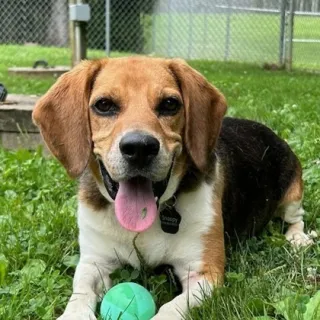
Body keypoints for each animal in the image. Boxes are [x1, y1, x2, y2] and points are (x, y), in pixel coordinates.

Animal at [32, 56, 312, 318]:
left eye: (169, 104)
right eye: (104, 105)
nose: (140, 147)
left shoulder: (204, 273)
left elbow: (169, 309)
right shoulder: (93, 262)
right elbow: (81, 293)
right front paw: (73, 313)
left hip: (292, 194)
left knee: (296, 218)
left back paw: (298, 238)